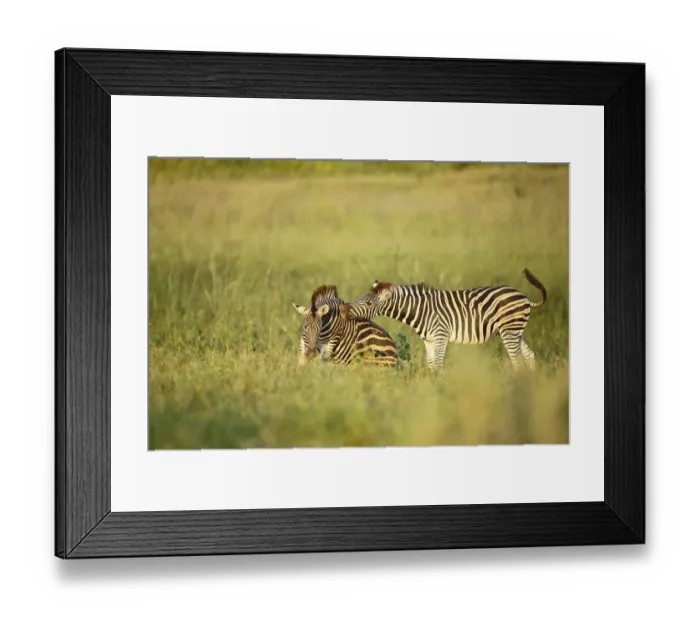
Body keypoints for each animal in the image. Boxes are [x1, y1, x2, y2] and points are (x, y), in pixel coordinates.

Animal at [339, 269, 547, 369]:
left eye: (368, 303)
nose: (342, 308)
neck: (421, 309)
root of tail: (524, 297)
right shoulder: (429, 340)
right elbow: (431, 366)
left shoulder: (440, 335)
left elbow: (438, 365)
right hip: (516, 331)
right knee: (529, 356)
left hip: (509, 331)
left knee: (517, 360)